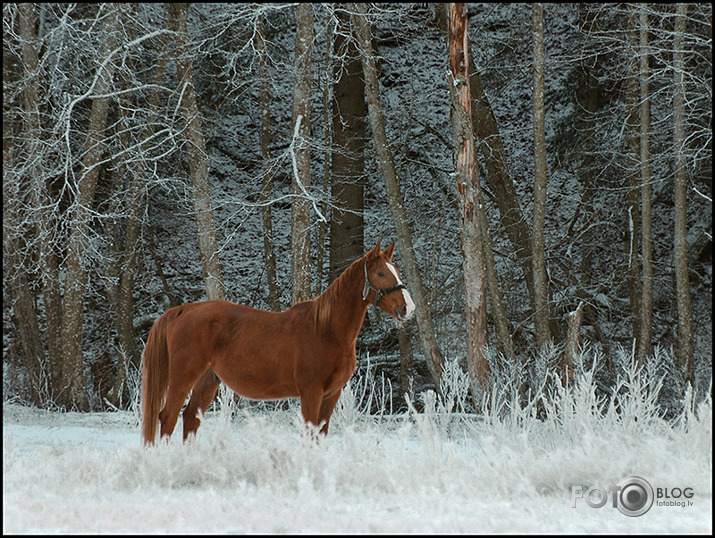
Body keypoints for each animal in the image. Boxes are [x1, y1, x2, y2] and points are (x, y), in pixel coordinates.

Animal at [141, 241, 414, 442]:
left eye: (397, 272)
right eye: (381, 273)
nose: (407, 308)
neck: (326, 330)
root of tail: (183, 310)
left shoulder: (332, 394)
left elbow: (321, 434)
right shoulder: (311, 392)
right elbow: (310, 434)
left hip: (208, 380)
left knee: (190, 418)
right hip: (183, 377)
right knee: (168, 417)